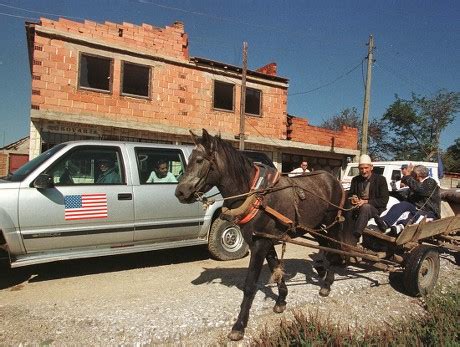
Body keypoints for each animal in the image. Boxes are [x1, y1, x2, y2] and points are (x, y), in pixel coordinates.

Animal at [176, 129, 348, 342]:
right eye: (190, 159)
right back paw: (323, 273)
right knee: (326, 246)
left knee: (333, 249)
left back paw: (327, 283)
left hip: (332, 224)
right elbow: (275, 268)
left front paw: (239, 325)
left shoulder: (260, 243)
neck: (255, 195)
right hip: (315, 227)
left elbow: (250, 285)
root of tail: (334, 180)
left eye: (199, 160)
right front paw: (281, 300)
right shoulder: (264, 240)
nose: (180, 192)